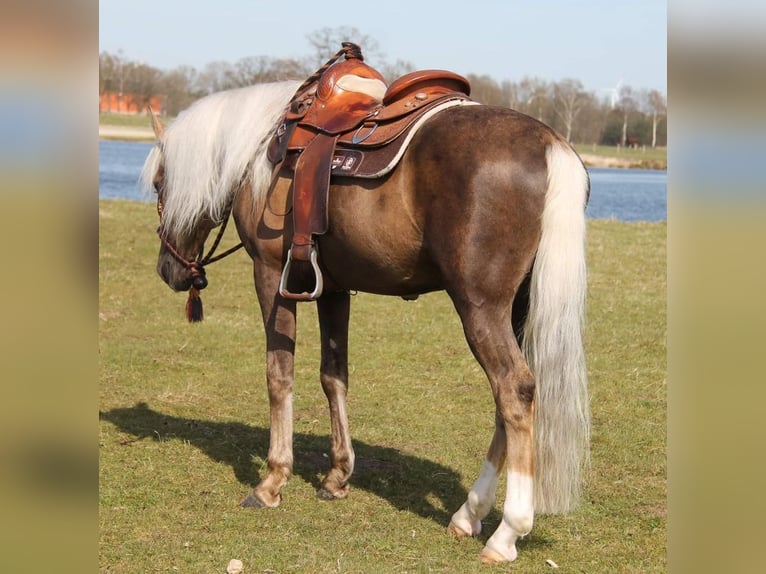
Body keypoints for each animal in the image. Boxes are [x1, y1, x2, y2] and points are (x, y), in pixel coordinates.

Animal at [141, 74, 592, 564]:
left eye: (159, 185)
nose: (168, 269)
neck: (261, 151)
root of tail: (550, 143)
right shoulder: (333, 288)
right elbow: (333, 376)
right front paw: (337, 476)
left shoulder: (270, 276)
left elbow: (279, 375)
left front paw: (272, 481)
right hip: (516, 310)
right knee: (512, 399)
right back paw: (468, 514)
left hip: (481, 308)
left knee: (512, 388)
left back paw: (507, 532)